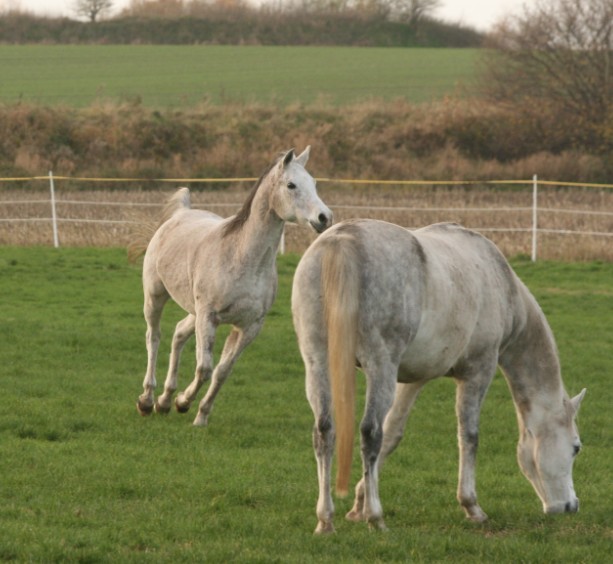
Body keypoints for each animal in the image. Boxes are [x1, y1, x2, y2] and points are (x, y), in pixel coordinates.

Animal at [137, 148, 332, 426]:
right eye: (291, 185)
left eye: (314, 183)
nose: (324, 217)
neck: (242, 257)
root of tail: (179, 214)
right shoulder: (209, 317)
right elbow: (204, 368)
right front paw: (183, 402)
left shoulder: (248, 326)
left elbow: (222, 371)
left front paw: (199, 415)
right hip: (155, 296)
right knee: (153, 337)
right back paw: (147, 401)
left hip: (194, 312)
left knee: (178, 334)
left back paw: (164, 402)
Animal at [290, 218, 584, 532]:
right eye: (576, 448)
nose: (570, 506)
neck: (501, 284)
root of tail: (342, 242)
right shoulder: (477, 372)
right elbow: (469, 435)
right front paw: (471, 506)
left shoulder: (413, 379)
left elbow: (393, 433)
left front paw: (357, 503)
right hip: (379, 366)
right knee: (369, 433)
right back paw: (376, 517)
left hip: (318, 363)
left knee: (325, 431)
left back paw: (326, 519)